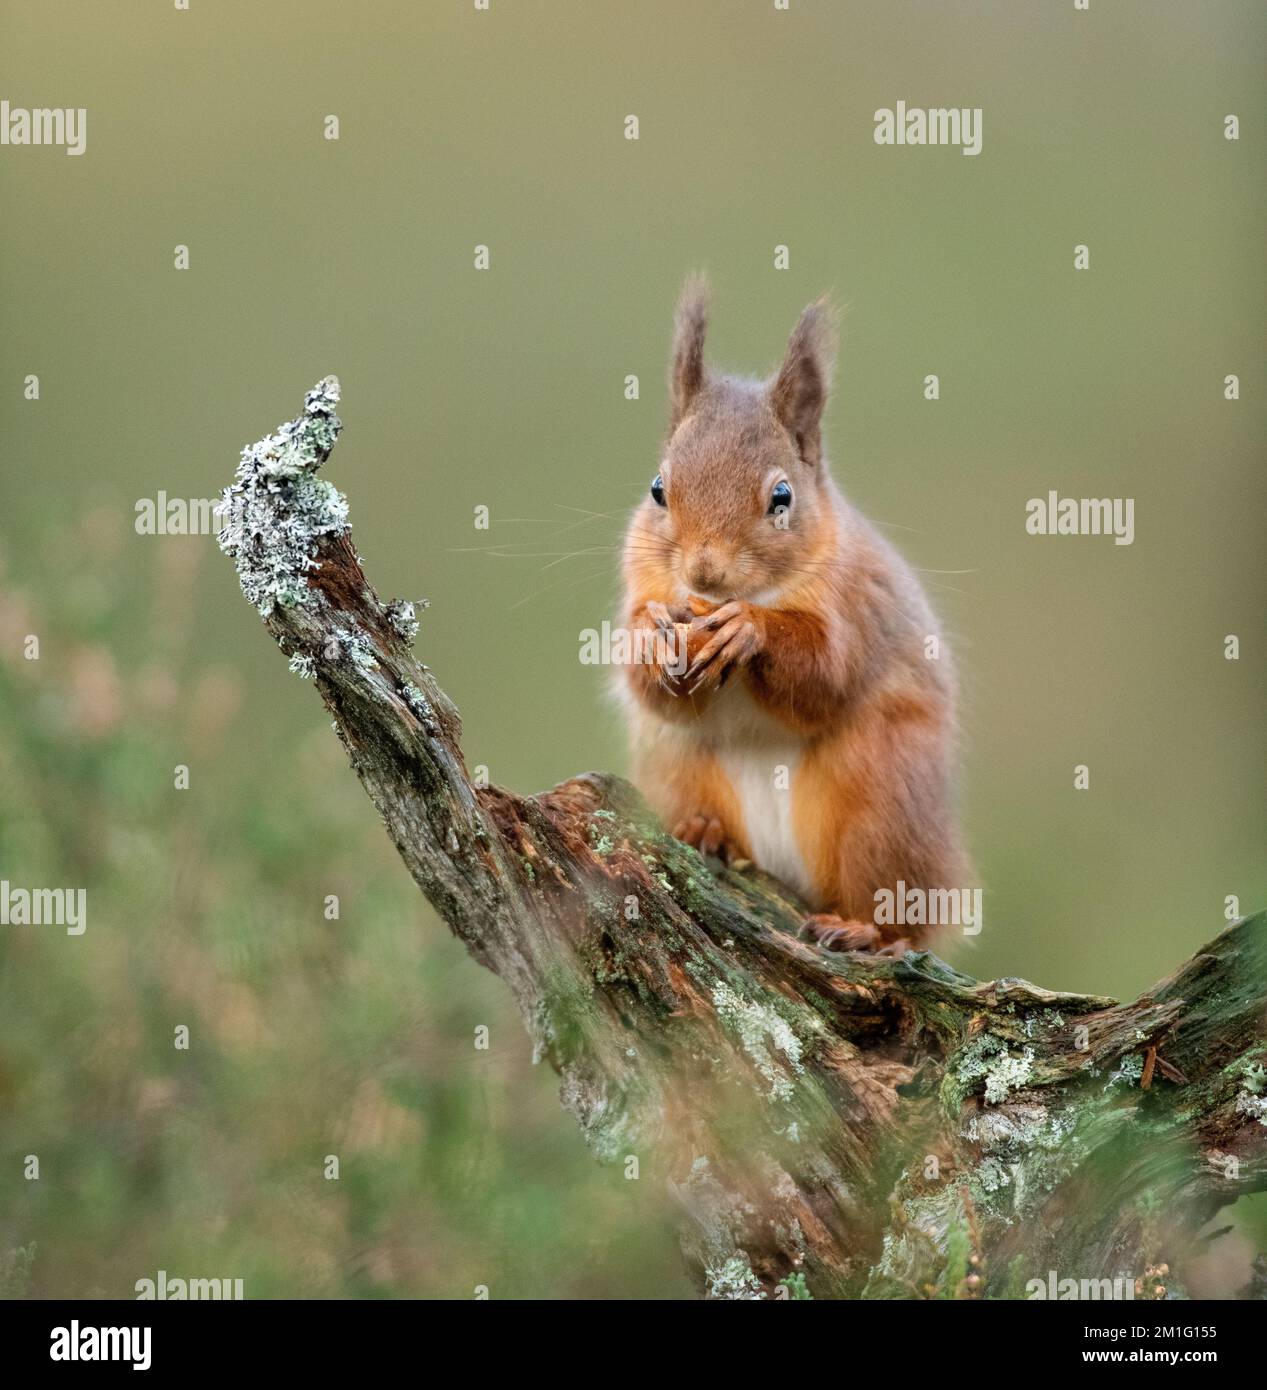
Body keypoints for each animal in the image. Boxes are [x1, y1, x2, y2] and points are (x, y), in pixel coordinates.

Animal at [617, 276, 967, 954]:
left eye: (782, 498)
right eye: (657, 489)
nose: (704, 573)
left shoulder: (856, 604)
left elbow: (825, 677)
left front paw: (749, 631)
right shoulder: (640, 585)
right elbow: (649, 686)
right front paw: (650, 636)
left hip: (882, 807)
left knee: (899, 913)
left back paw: (863, 928)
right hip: (677, 768)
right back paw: (705, 831)